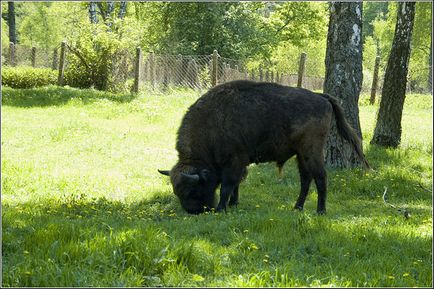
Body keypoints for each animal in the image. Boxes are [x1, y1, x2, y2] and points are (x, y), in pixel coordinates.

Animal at [159, 80, 370, 213]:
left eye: (192, 191)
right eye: (177, 192)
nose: (193, 211)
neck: (210, 124)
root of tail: (322, 97)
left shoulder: (234, 161)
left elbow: (228, 185)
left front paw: (221, 208)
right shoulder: (240, 164)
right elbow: (235, 185)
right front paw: (234, 204)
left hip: (311, 151)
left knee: (320, 177)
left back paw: (320, 211)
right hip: (301, 154)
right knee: (305, 179)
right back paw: (297, 208)